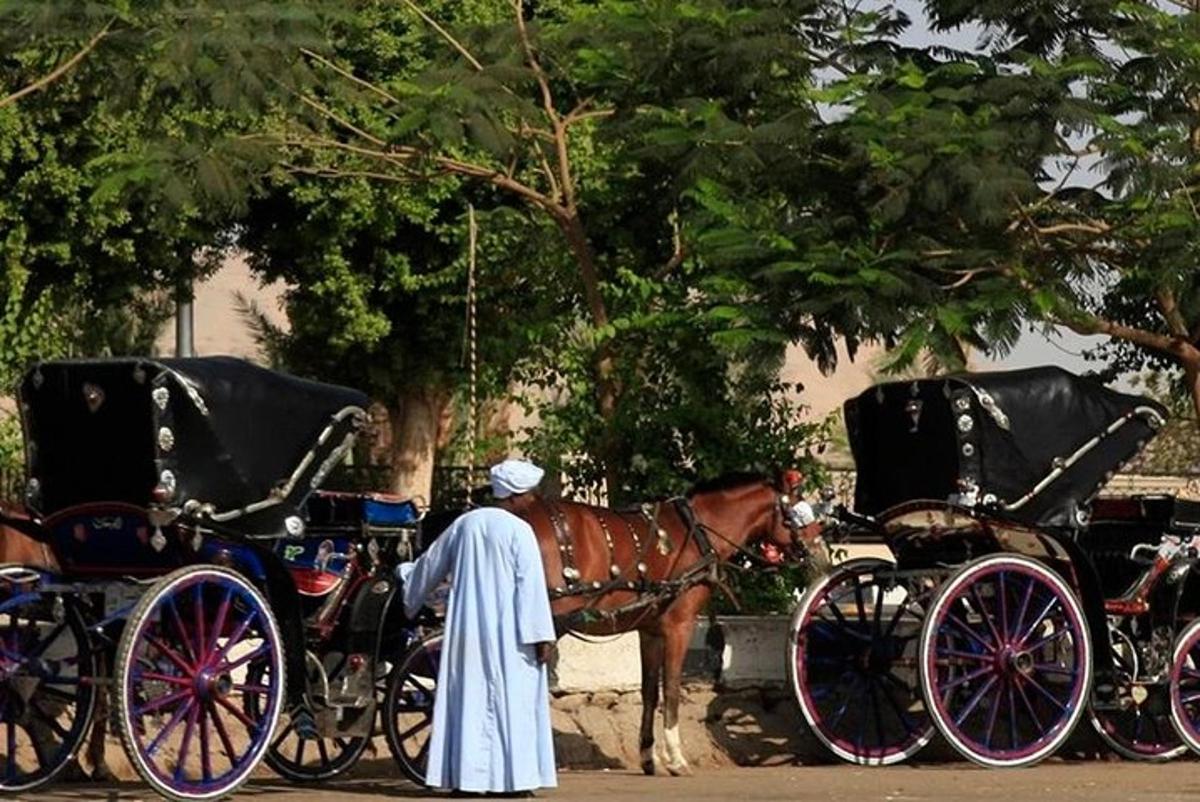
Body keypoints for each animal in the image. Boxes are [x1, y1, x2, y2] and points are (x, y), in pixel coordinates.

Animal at [511, 470, 830, 777]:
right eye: (799, 509)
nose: (820, 553)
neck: (698, 531)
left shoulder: (650, 631)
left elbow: (650, 691)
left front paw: (648, 757)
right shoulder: (680, 625)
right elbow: (672, 688)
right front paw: (676, 758)